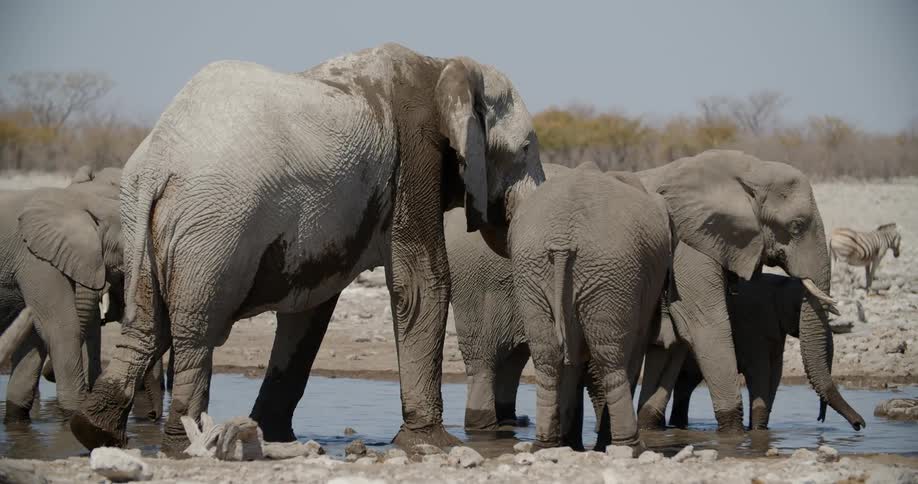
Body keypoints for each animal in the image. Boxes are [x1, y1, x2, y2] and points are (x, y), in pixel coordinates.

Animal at [70, 43, 544, 451]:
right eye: (524, 149)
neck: (443, 66)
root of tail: (155, 163)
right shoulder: (415, 153)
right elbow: (421, 285)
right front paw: (433, 444)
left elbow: (311, 308)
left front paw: (274, 436)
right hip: (213, 226)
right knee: (195, 330)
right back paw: (182, 443)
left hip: (152, 224)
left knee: (148, 325)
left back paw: (93, 431)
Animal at [668, 273, 803, 430]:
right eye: (800, 309)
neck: (780, 283)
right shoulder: (754, 326)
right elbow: (760, 372)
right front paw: (757, 430)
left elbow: (775, 373)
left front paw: (759, 430)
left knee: (685, 383)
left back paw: (678, 426)